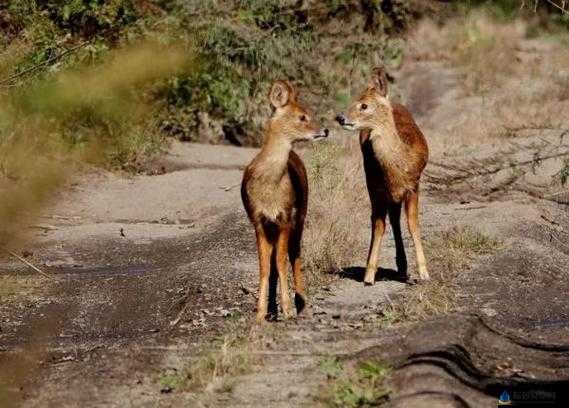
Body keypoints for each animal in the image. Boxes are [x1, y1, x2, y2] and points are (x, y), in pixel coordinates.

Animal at [241, 79, 328, 322]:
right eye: (302, 116)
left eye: (309, 112)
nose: (325, 130)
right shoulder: (258, 220)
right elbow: (264, 265)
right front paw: (260, 312)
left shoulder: (285, 217)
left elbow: (281, 261)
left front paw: (288, 309)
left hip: (302, 213)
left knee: (295, 254)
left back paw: (301, 303)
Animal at [336, 66, 428, 284]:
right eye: (355, 99)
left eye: (364, 105)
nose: (341, 117)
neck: (400, 165)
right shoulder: (376, 187)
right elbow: (378, 225)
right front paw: (369, 275)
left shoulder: (414, 185)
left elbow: (413, 224)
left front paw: (424, 273)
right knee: (387, 220)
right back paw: (398, 267)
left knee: (395, 218)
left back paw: (403, 267)